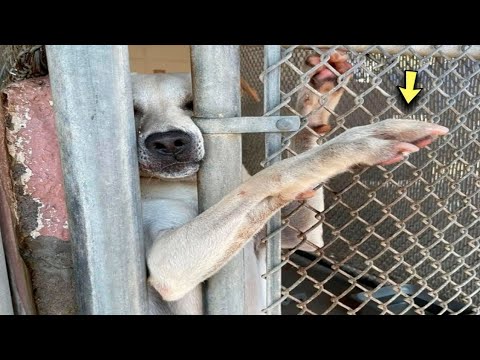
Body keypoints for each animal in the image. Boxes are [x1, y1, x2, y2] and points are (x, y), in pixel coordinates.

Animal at [130, 50, 446, 316]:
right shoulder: (168, 263)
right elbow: (273, 174)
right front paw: (359, 142)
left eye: (192, 104)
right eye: (131, 110)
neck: (188, 183)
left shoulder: (295, 236)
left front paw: (316, 98)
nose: (169, 142)